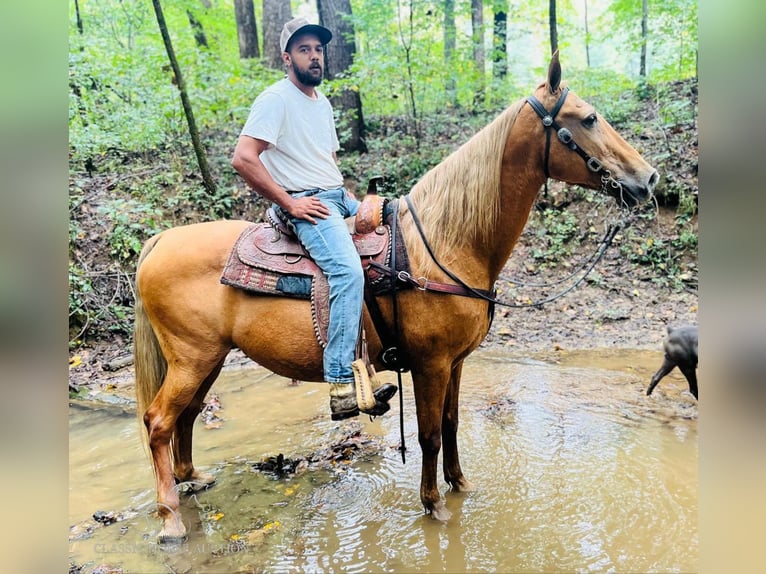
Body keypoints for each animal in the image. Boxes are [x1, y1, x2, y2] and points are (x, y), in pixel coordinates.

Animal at [134, 51, 660, 544]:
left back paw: (192, 478)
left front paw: (460, 485)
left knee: (186, 416)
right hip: (192, 357)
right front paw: (434, 505)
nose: (649, 178)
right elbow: (428, 435)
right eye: (587, 118)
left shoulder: (457, 362)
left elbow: (451, 424)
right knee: (158, 421)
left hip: (208, 358)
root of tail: (159, 241)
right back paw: (170, 519)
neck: (447, 243)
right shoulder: (430, 364)